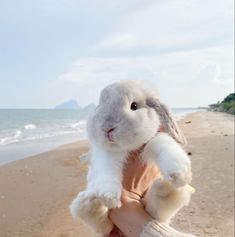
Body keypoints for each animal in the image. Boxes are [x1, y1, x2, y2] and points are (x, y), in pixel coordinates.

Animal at [69, 80, 193, 236]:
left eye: (134, 106)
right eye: (99, 105)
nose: (107, 128)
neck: (125, 148)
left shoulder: (154, 139)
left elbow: (163, 145)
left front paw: (179, 174)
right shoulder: (105, 154)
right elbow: (106, 171)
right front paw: (108, 197)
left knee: (157, 213)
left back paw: (166, 188)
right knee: (103, 226)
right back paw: (91, 204)